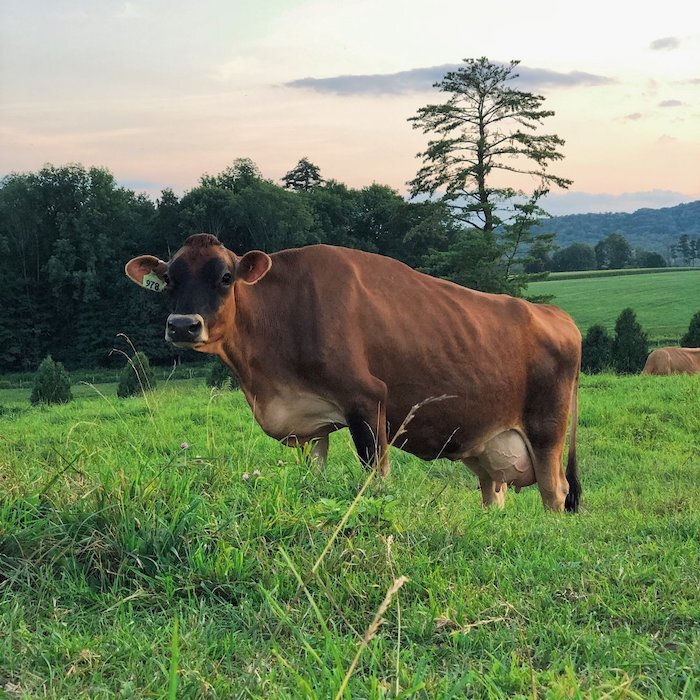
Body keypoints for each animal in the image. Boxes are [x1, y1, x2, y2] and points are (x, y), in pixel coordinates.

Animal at [125, 233, 582, 512]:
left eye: (224, 276)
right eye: (169, 280)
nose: (182, 325)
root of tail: (556, 315)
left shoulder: (367, 401)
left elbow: (376, 479)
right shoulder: (310, 423)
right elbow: (314, 476)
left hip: (546, 430)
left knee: (554, 490)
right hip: (487, 445)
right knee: (493, 490)